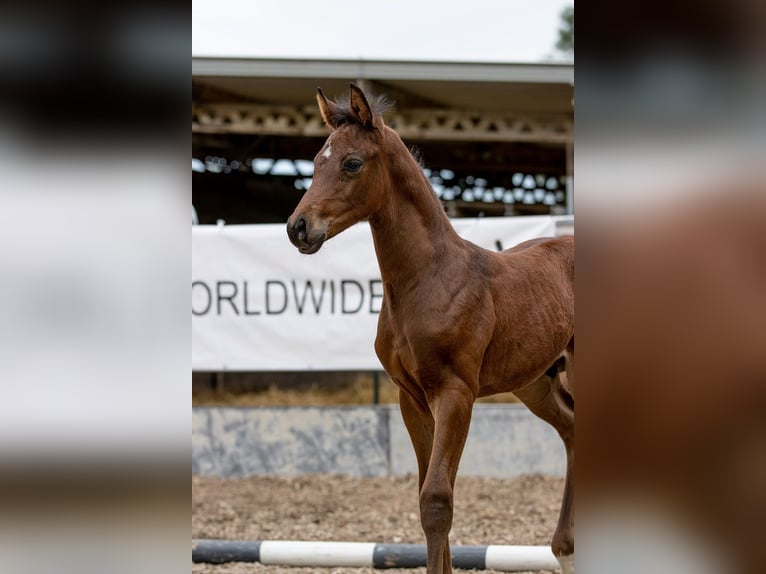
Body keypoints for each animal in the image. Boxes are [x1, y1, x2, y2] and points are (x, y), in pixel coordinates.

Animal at [288, 84, 576, 574]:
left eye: (352, 163)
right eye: (315, 162)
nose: (298, 227)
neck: (428, 279)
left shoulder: (455, 393)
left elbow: (437, 500)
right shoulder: (412, 398)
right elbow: (430, 492)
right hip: (535, 382)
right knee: (574, 431)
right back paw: (565, 549)